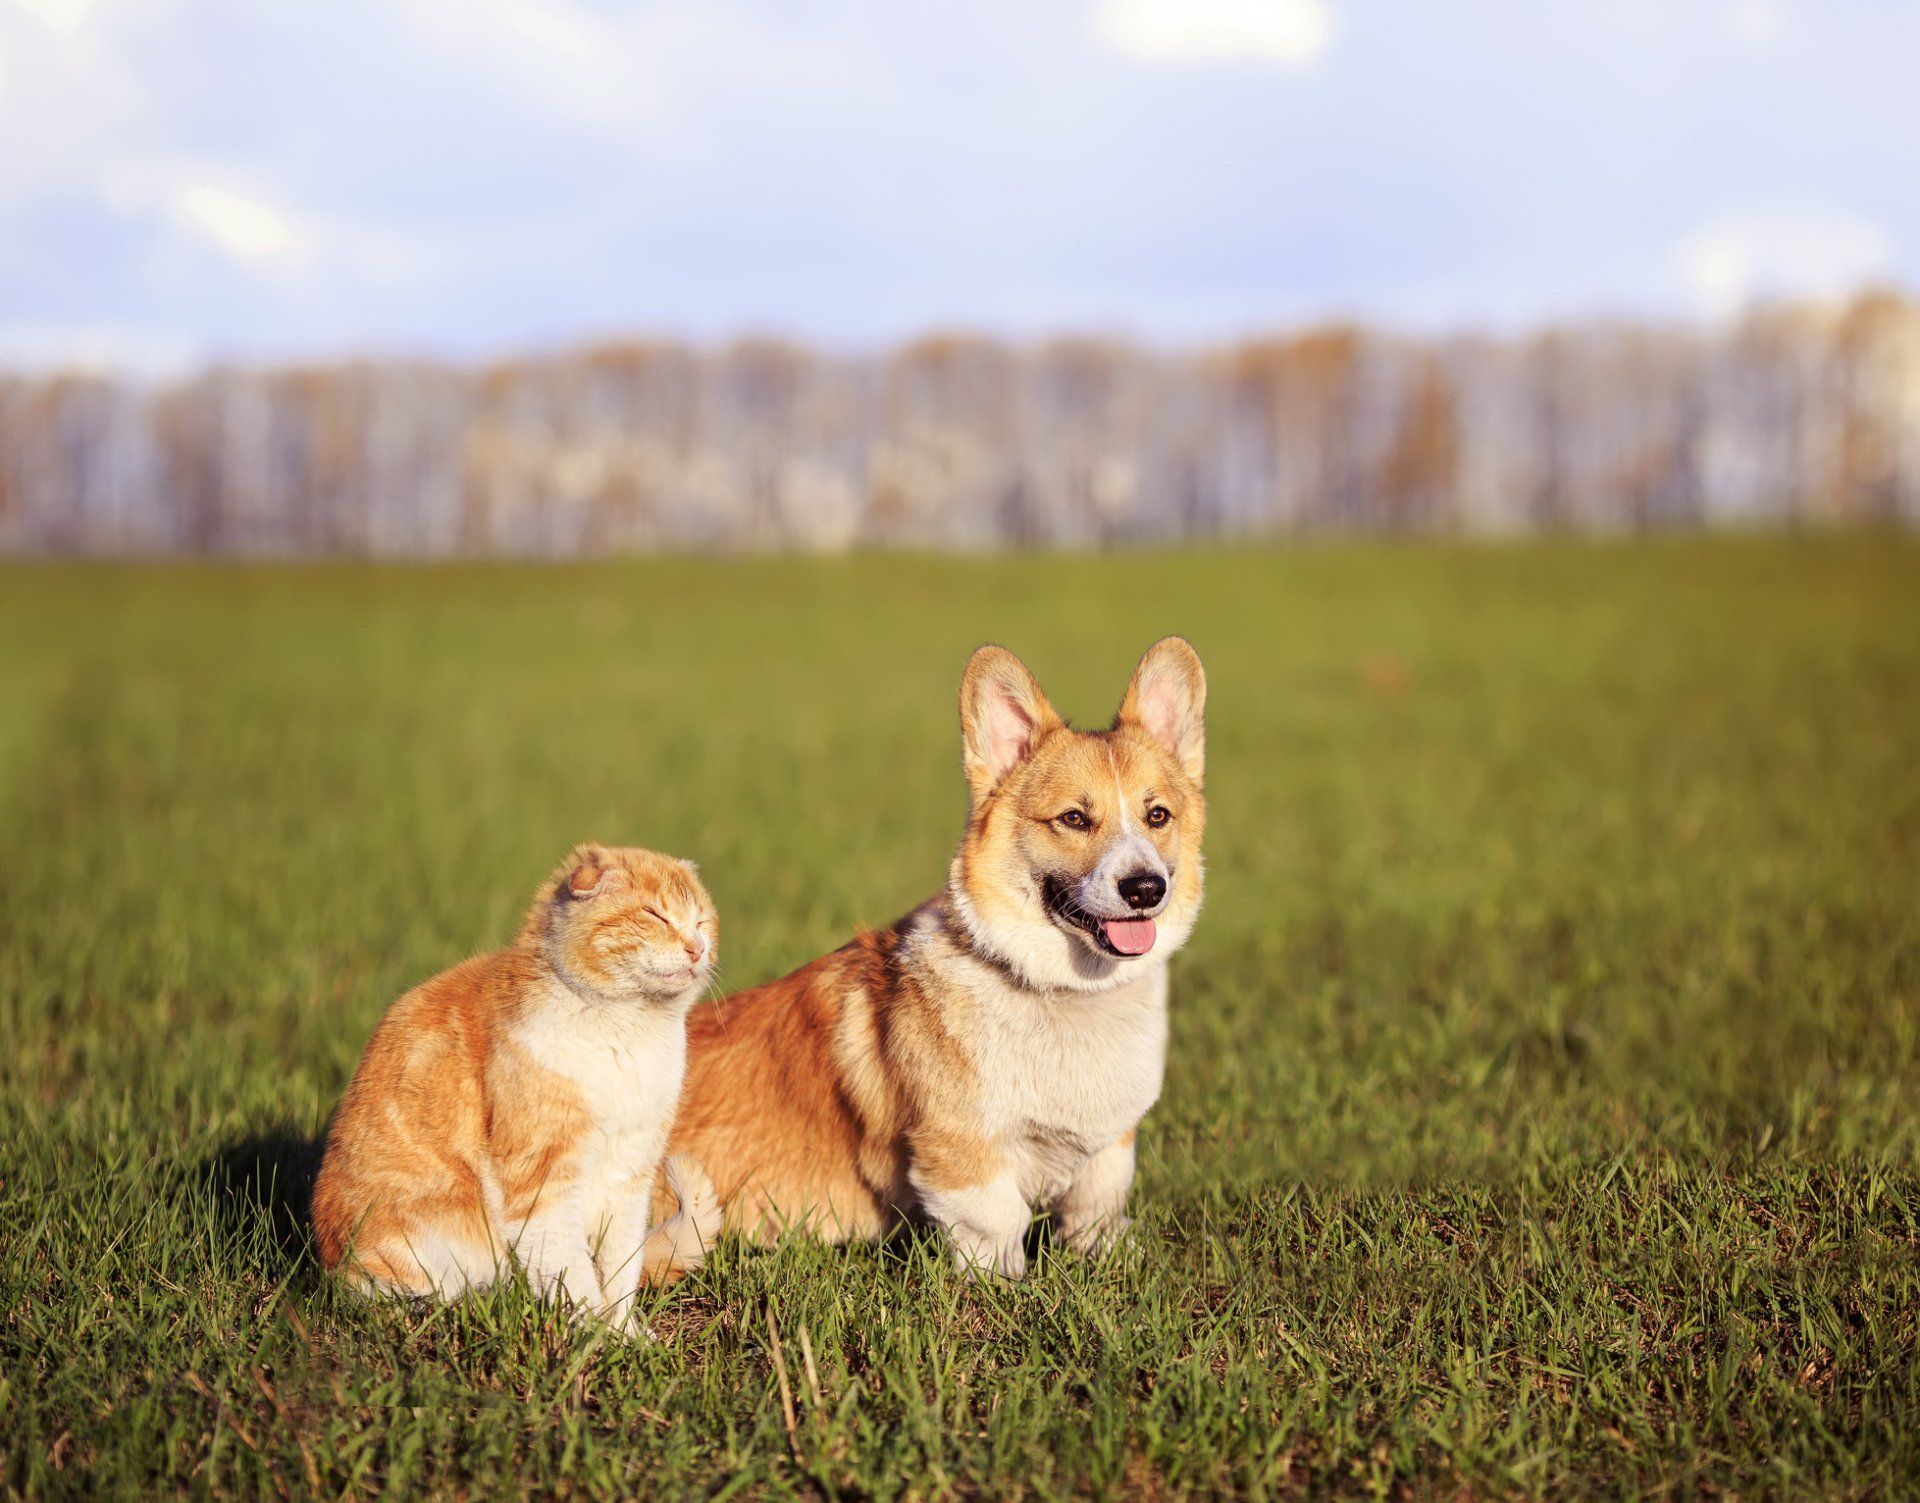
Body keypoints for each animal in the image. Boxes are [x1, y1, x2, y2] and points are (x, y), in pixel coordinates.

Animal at [314, 844, 721, 1328]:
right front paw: (596, 1336)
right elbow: (575, 1275)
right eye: (654, 915)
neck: (629, 1033)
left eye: (701, 921)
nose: (696, 948)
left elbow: (620, 1272)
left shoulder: (630, 1174)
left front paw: (625, 1333)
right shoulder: (542, 1183)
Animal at [656, 637, 1198, 1282]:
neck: (1065, 993)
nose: (1145, 888)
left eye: (1157, 816)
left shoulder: (1109, 1145)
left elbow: (1098, 1208)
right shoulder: (961, 1153)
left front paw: (1112, 1257)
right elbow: (997, 1226)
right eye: (1073, 818)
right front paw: (1004, 1290)